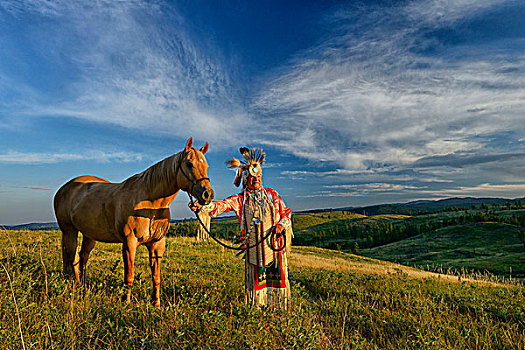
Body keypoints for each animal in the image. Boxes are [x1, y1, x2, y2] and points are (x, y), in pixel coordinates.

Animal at [53, 137, 213, 306]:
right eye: (189, 164)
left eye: (207, 167)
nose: (207, 194)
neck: (150, 203)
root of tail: (64, 188)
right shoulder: (129, 243)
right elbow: (129, 275)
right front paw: (126, 302)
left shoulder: (157, 245)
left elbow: (156, 276)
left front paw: (156, 303)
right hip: (69, 231)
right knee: (72, 257)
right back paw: (75, 285)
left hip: (89, 235)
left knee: (82, 256)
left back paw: (82, 284)